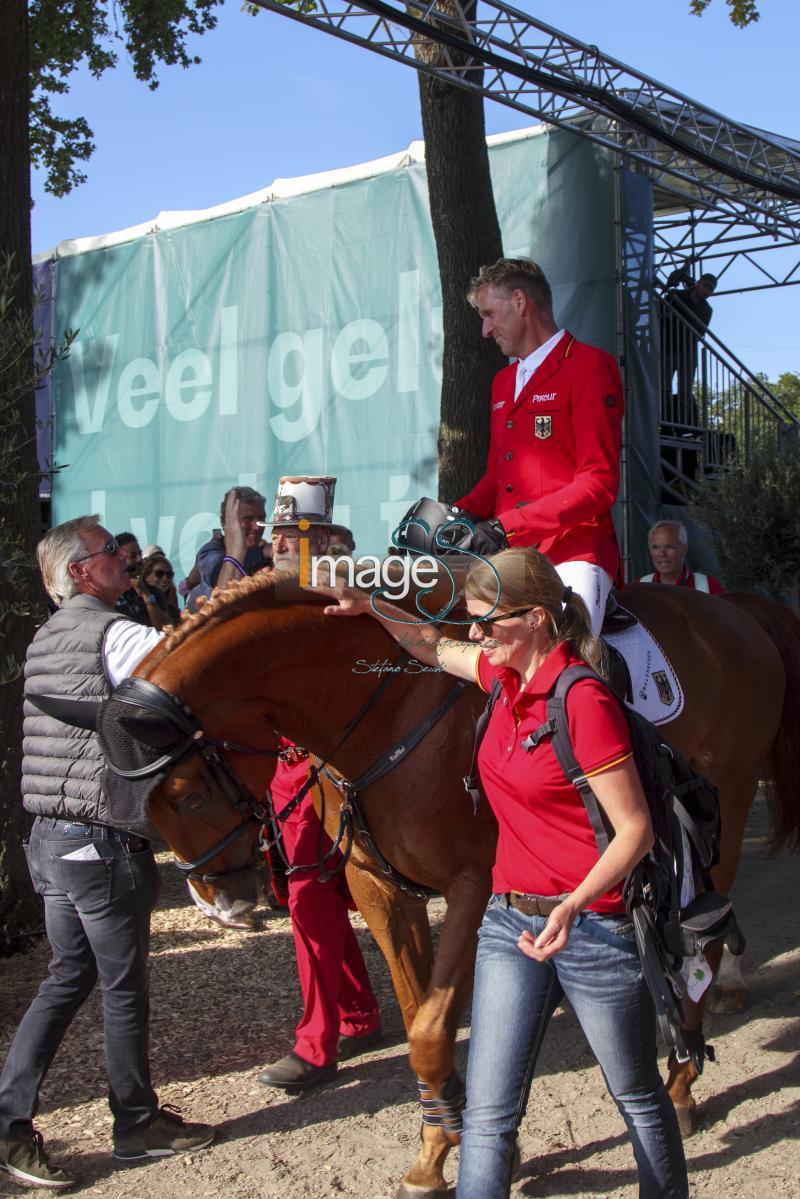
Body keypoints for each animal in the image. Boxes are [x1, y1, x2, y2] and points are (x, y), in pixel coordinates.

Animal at [120, 573, 800, 1199]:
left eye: (187, 794)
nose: (221, 903)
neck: (385, 702)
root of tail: (734, 611)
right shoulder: (381, 891)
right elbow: (425, 1021)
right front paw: (446, 1140)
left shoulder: (474, 885)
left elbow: (430, 1032)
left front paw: (452, 1142)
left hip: (726, 806)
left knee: (705, 934)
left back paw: (685, 1081)